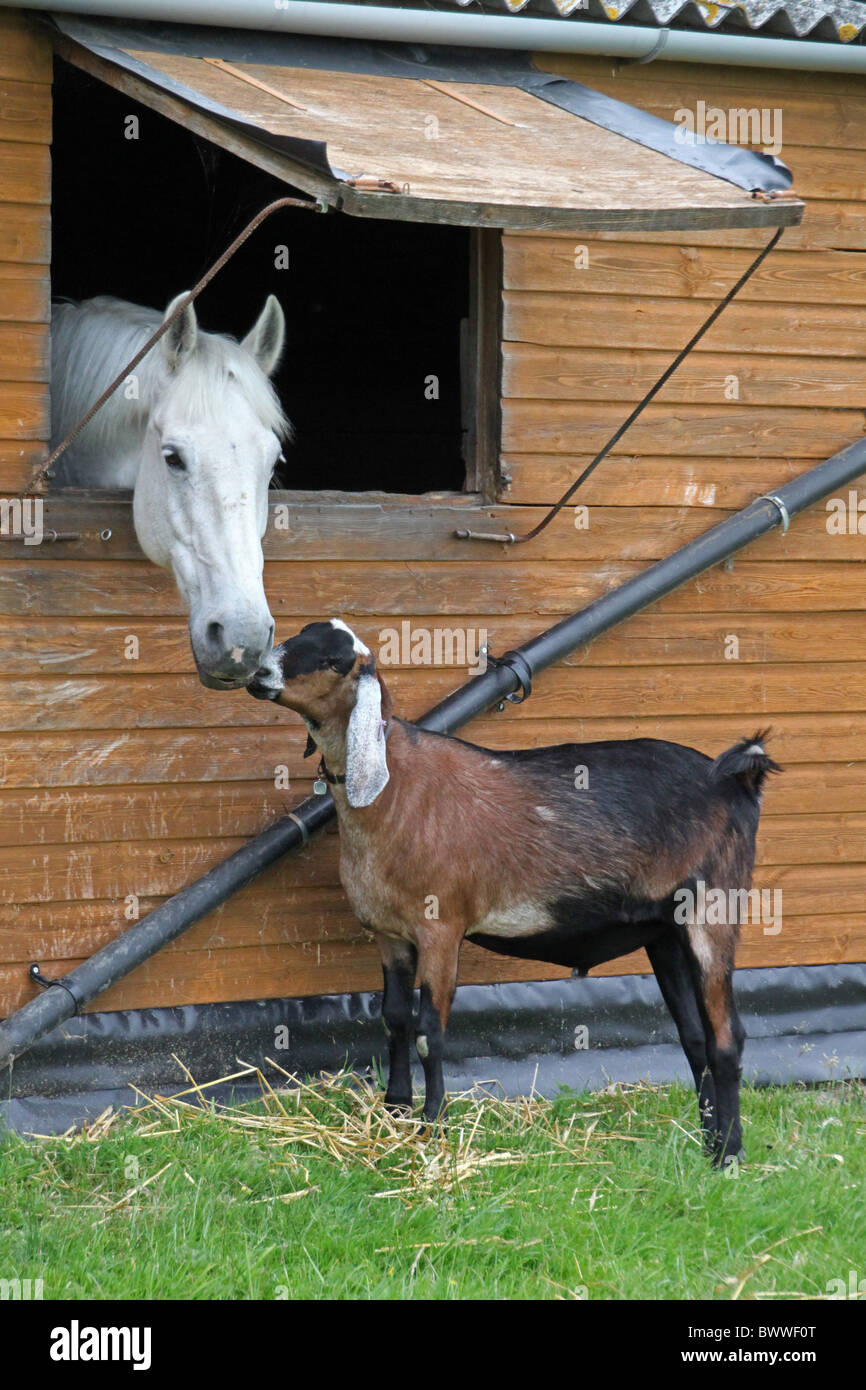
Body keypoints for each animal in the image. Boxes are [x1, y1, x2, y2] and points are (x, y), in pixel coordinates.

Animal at [248, 618, 779, 1165]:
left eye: (335, 660)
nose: (258, 674)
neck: (395, 790)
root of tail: (738, 780)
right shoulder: (390, 935)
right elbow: (394, 1020)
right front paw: (395, 1110)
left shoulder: (441, 928)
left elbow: (429, 1033)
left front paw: (432, 1127)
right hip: (665, 930)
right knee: (694, 1037)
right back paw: (709, 1142)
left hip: (714, 908)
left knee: (727, 1037)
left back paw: (729, 1156)